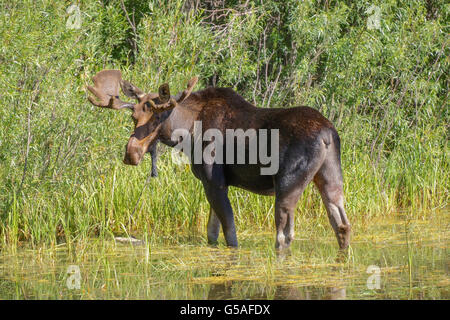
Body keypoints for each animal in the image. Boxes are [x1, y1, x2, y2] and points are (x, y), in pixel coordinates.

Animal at [87, 70, 352, 250]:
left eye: (158, 117)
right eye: (133, 116)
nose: (131, 153)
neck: (188, 132)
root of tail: (327, 135)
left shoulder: (214, 181)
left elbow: (230, 234)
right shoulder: (213, 184)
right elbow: (212, 233)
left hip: (287, 185)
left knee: (284, 236)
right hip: (330, 178)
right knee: (342, 224)